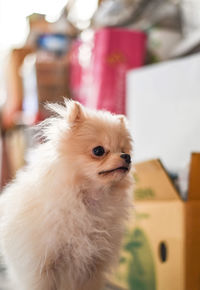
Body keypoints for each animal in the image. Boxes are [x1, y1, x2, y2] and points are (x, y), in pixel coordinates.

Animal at [0, 100, 134, 290]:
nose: (126, 157)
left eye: (124, 150)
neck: (88, 201)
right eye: (98, 151)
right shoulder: (43, 269)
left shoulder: (92, 267)